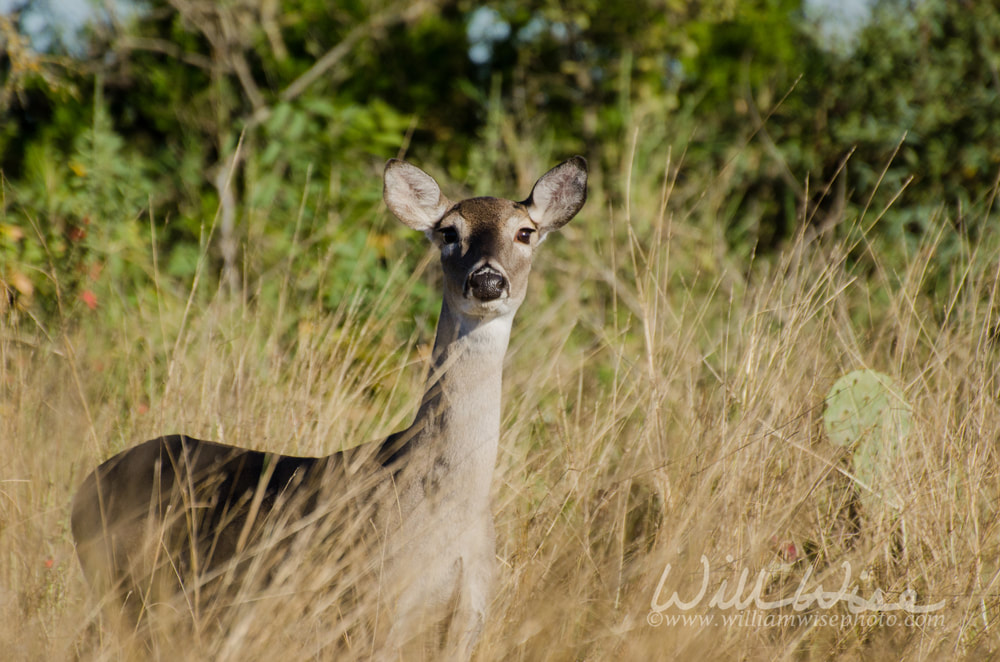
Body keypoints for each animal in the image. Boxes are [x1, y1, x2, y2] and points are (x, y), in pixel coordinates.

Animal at [72, 156, 584, 660]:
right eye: (448, 232)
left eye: (525, 232)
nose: (487, 281)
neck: (446, 508)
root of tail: (83, 488)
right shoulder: (368, 604)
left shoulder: (468, 620)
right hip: (128, 592)